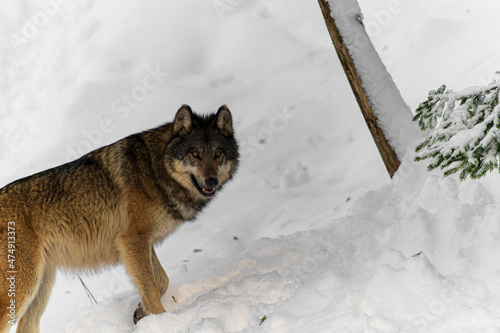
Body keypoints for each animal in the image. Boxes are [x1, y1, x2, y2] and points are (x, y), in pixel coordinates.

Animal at [0, 104, 240, 332]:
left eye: (218, 154)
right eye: (195, 154)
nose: (211, 181)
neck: (155, 170)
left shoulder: (142, 242)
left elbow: (162, 280)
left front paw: (141, 311)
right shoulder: (134, 239)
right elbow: (152, 287)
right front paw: (162, 321)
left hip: (42, 283)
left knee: (26, 326)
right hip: (25, 285)